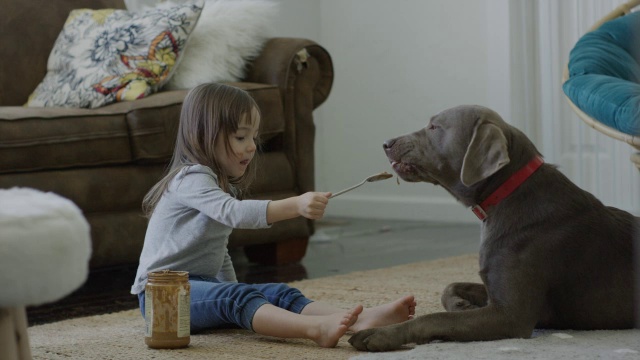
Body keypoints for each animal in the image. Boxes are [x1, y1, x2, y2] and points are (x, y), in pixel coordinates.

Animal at [350, 104, 640, 352]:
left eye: (434, 126)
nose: (386, 143)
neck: (507, 193)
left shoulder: (510, 315)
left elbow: (435, 318)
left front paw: (380, 334)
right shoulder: (492, 290)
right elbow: (450, 286)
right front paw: (461, 304)